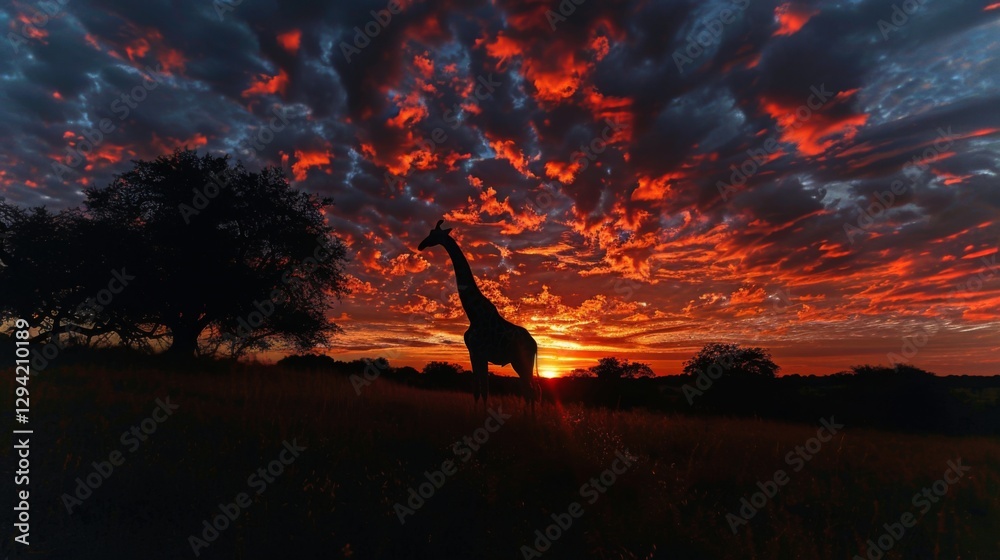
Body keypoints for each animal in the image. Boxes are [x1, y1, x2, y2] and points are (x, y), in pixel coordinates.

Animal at [417, 220, 540, 411]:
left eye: (433, 233)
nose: (421, 245)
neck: (473, 314)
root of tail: (534, 344)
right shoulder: (474, 354)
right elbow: (478, 391)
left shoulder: (480, 353)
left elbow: (482, 391)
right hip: (518, 363)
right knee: (527, 392)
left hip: (523, 361)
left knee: (531, 392)